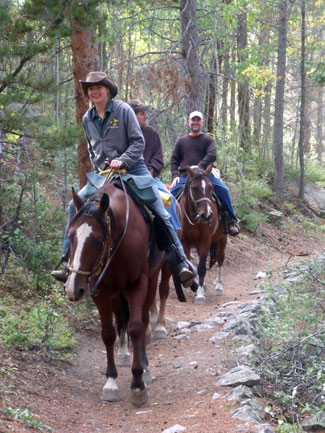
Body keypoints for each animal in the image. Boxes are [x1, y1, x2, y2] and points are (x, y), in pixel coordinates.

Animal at [65, 180, 170, 404]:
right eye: (70, 237)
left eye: (97, 241)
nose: (73, 288)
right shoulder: (101, 290)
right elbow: (107, 333)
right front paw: (111, 382)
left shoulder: (138, 284)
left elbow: (137, 327)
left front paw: (138, 383)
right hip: (116, 293)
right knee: (121, 317)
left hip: (152, 278)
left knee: (144, 321)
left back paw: (145, 367)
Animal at [177, 164, 228, 302]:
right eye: (194, 188)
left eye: (211, 188)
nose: (207, 215)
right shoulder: (185, 241)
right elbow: (191, 264)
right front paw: (192, 286)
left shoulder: (205, 239)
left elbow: (201, 268)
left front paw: (199, 294)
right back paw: (203, 285)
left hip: (223, 238)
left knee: (220, 259)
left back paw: (219, 286)